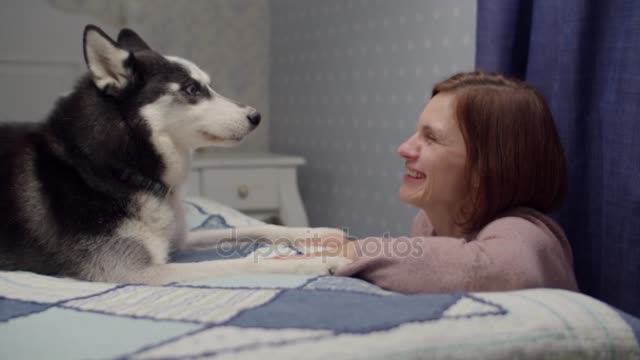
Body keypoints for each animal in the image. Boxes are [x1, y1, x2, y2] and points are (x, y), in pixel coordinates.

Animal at [0, 25, 350, 284]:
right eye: (192, 89)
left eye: (209, 85)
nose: (256, 116)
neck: (115, 167)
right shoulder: (136, 270)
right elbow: (241, 262)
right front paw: (322, 261)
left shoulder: (179, 240)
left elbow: (255, 228)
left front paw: (318, 233)